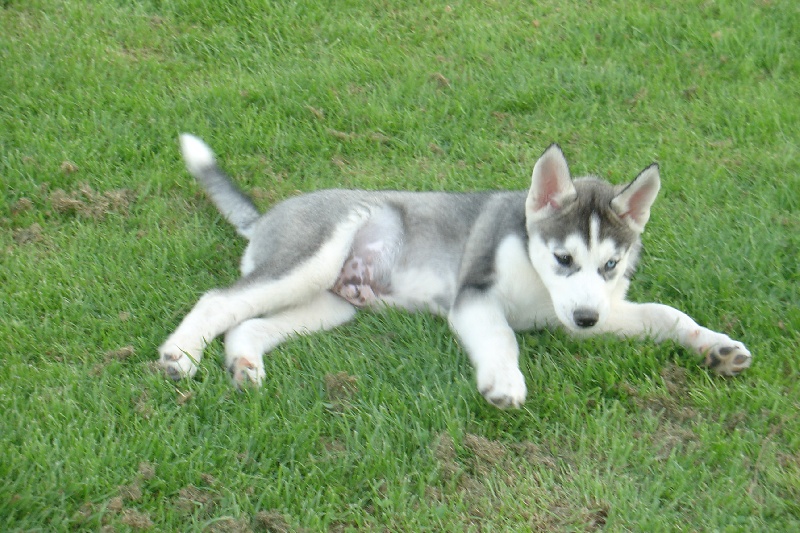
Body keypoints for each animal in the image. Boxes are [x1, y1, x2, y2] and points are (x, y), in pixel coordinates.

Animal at [161, 136, 752, 408]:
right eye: (563, 259)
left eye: (611, 264)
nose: (586, 318)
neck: (538, 280)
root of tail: (265, 218)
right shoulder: (475, 295)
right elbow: (502, 338)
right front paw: (504, 381)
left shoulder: (589, 313)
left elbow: (666, 314)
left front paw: (716, 347)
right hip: (312, 258)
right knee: (218, 299)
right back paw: (179, 357)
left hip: (330, 304)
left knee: (246, 320)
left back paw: (244, 365)